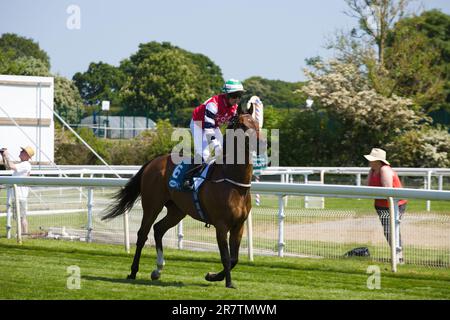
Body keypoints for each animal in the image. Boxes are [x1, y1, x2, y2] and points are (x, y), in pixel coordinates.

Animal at [101, 107, 264, 288]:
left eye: (257, 123)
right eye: (242, 125)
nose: (262, 143)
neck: (234, 184)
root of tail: (153, 162)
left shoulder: (238, 225)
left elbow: (234, 259)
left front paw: (213, 276)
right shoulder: (221, 225)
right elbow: (226, 257)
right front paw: (228, 283)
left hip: (177, 211)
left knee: (158, 229)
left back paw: (158, 270)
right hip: (152, 205)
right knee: (143, 234)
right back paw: (133, 271)